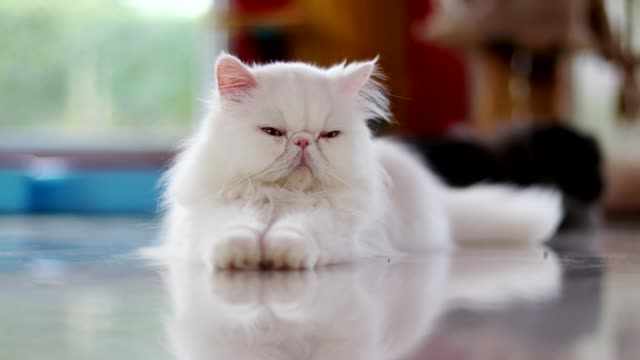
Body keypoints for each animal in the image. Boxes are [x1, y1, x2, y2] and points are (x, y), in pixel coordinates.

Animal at [164, 52, 560, 268]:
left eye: (328, 136)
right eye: (273, 132)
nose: (303, 141)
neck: (284, 200)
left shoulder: (333, 224)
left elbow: (297, 234)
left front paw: (281, 255)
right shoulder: (216, 214)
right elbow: (234, 232)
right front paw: (238, 257)